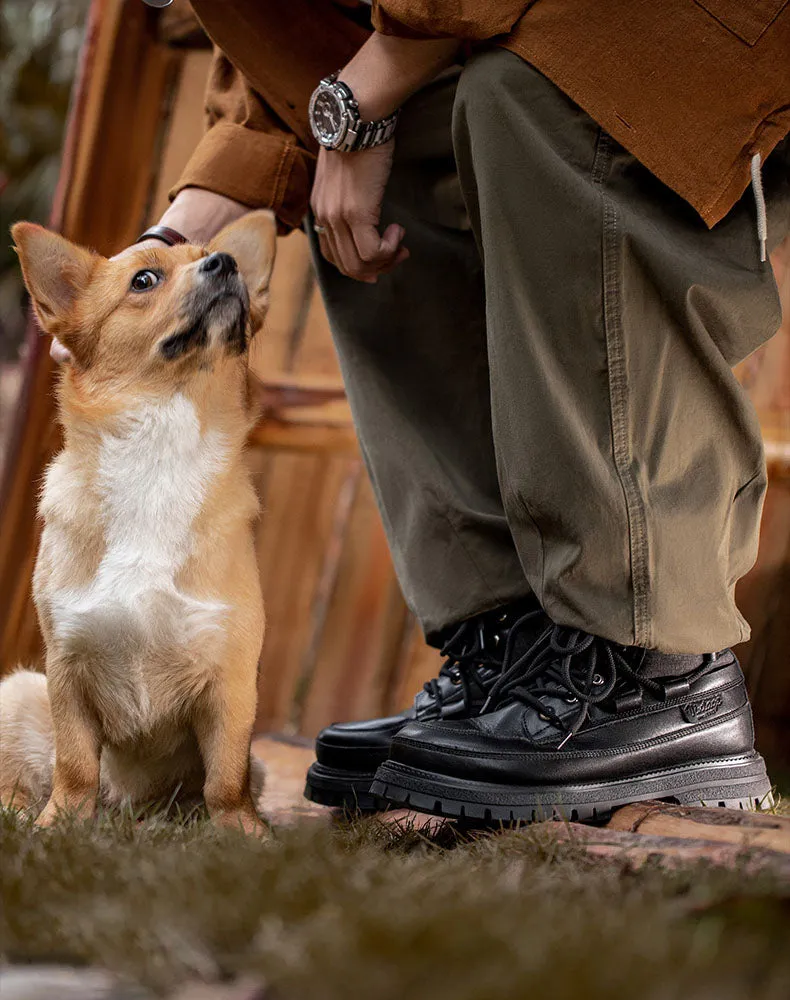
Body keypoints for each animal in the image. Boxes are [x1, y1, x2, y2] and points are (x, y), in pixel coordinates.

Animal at [0, 215, 276, 832]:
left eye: (218, 257)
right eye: (144, 279)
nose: (226, 262)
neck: (158, 450)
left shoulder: (231, 682)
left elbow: (227, 778)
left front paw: (243, 834)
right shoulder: (66, 670)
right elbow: (75, 765)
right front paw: (58, 826)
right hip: (17, 696)